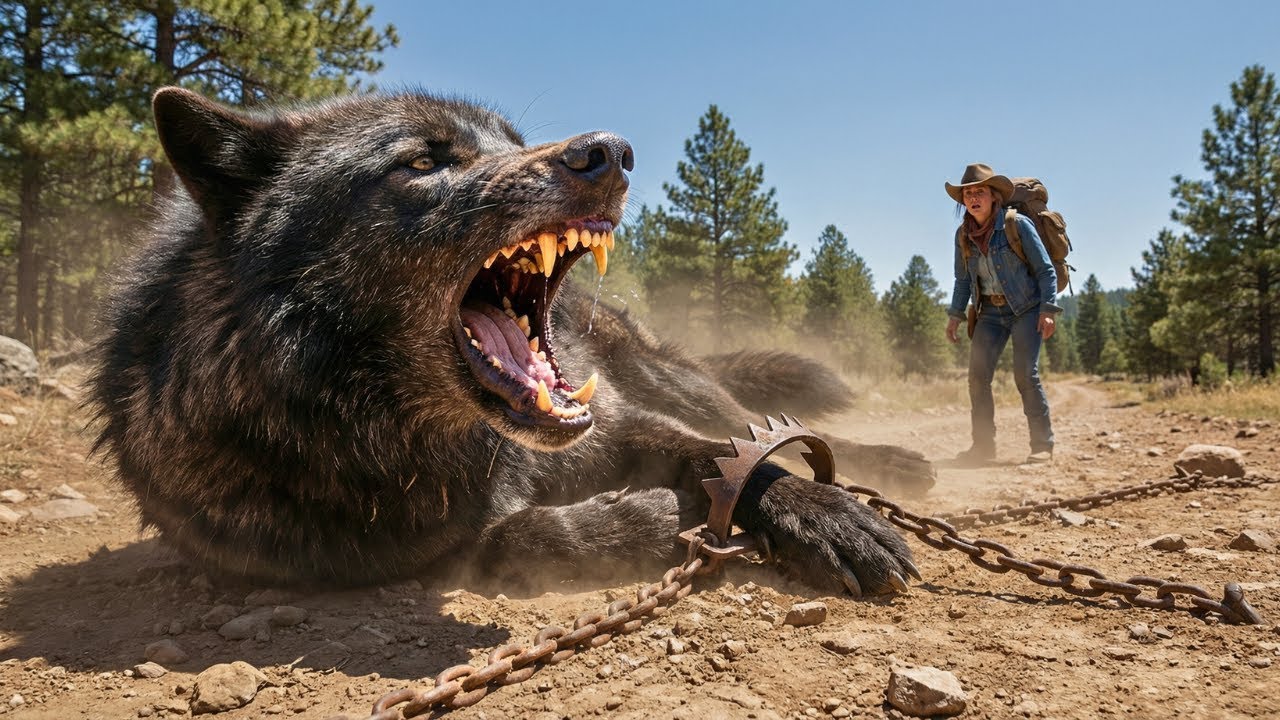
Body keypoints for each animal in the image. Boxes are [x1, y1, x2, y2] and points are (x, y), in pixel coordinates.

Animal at [89, 88, 934, 597]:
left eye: (510, 141)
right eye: (423, 162)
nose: (612, 151)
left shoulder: (625, 425)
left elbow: (729, 460)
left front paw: (821, 512)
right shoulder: (393, 556)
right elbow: (513, 540)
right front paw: (638, 521)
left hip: (671, 379)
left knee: (756, 424)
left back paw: (892, 466)